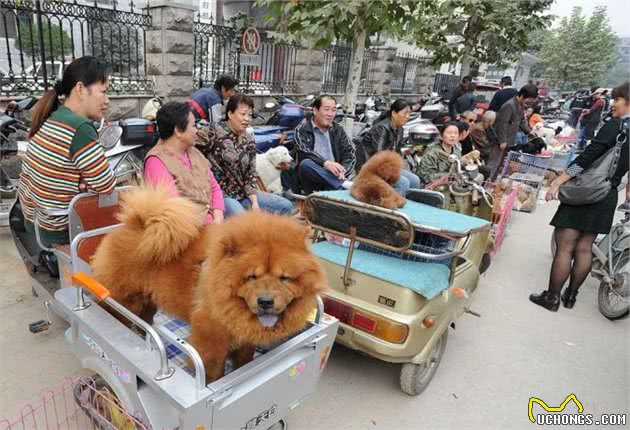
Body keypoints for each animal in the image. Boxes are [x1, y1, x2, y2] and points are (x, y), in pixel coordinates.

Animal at [91, 186, 328, 382]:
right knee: (117, 314)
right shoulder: (211, 340)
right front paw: (215, 381)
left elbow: (245, 360)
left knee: (146, 317)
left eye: (284, 278)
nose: (265, 301)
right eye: (251, 277)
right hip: (125, 299)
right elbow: (214, 371)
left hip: (149, 298)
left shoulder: (244, 340)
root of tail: (137, 223)